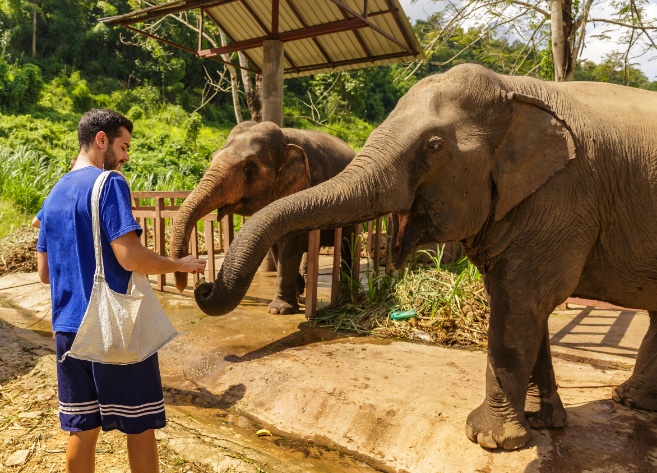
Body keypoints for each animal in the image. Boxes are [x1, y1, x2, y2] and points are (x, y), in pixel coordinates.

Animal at [170, 120, 355, 314]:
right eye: (212, 158)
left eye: (249, 168)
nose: (202, 284)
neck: (286, 138)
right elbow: (275, 243)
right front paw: (296, 292)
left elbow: (291, 243)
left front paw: (280, 310)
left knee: (347, 243)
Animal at [192, 63, 657, 450]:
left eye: (434, 147)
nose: (203, 285)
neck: (516, 90)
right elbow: (522, 302)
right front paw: (542, 425)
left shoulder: (562, 196)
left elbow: (521, 300)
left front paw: (489, 440)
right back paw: (630, 401)